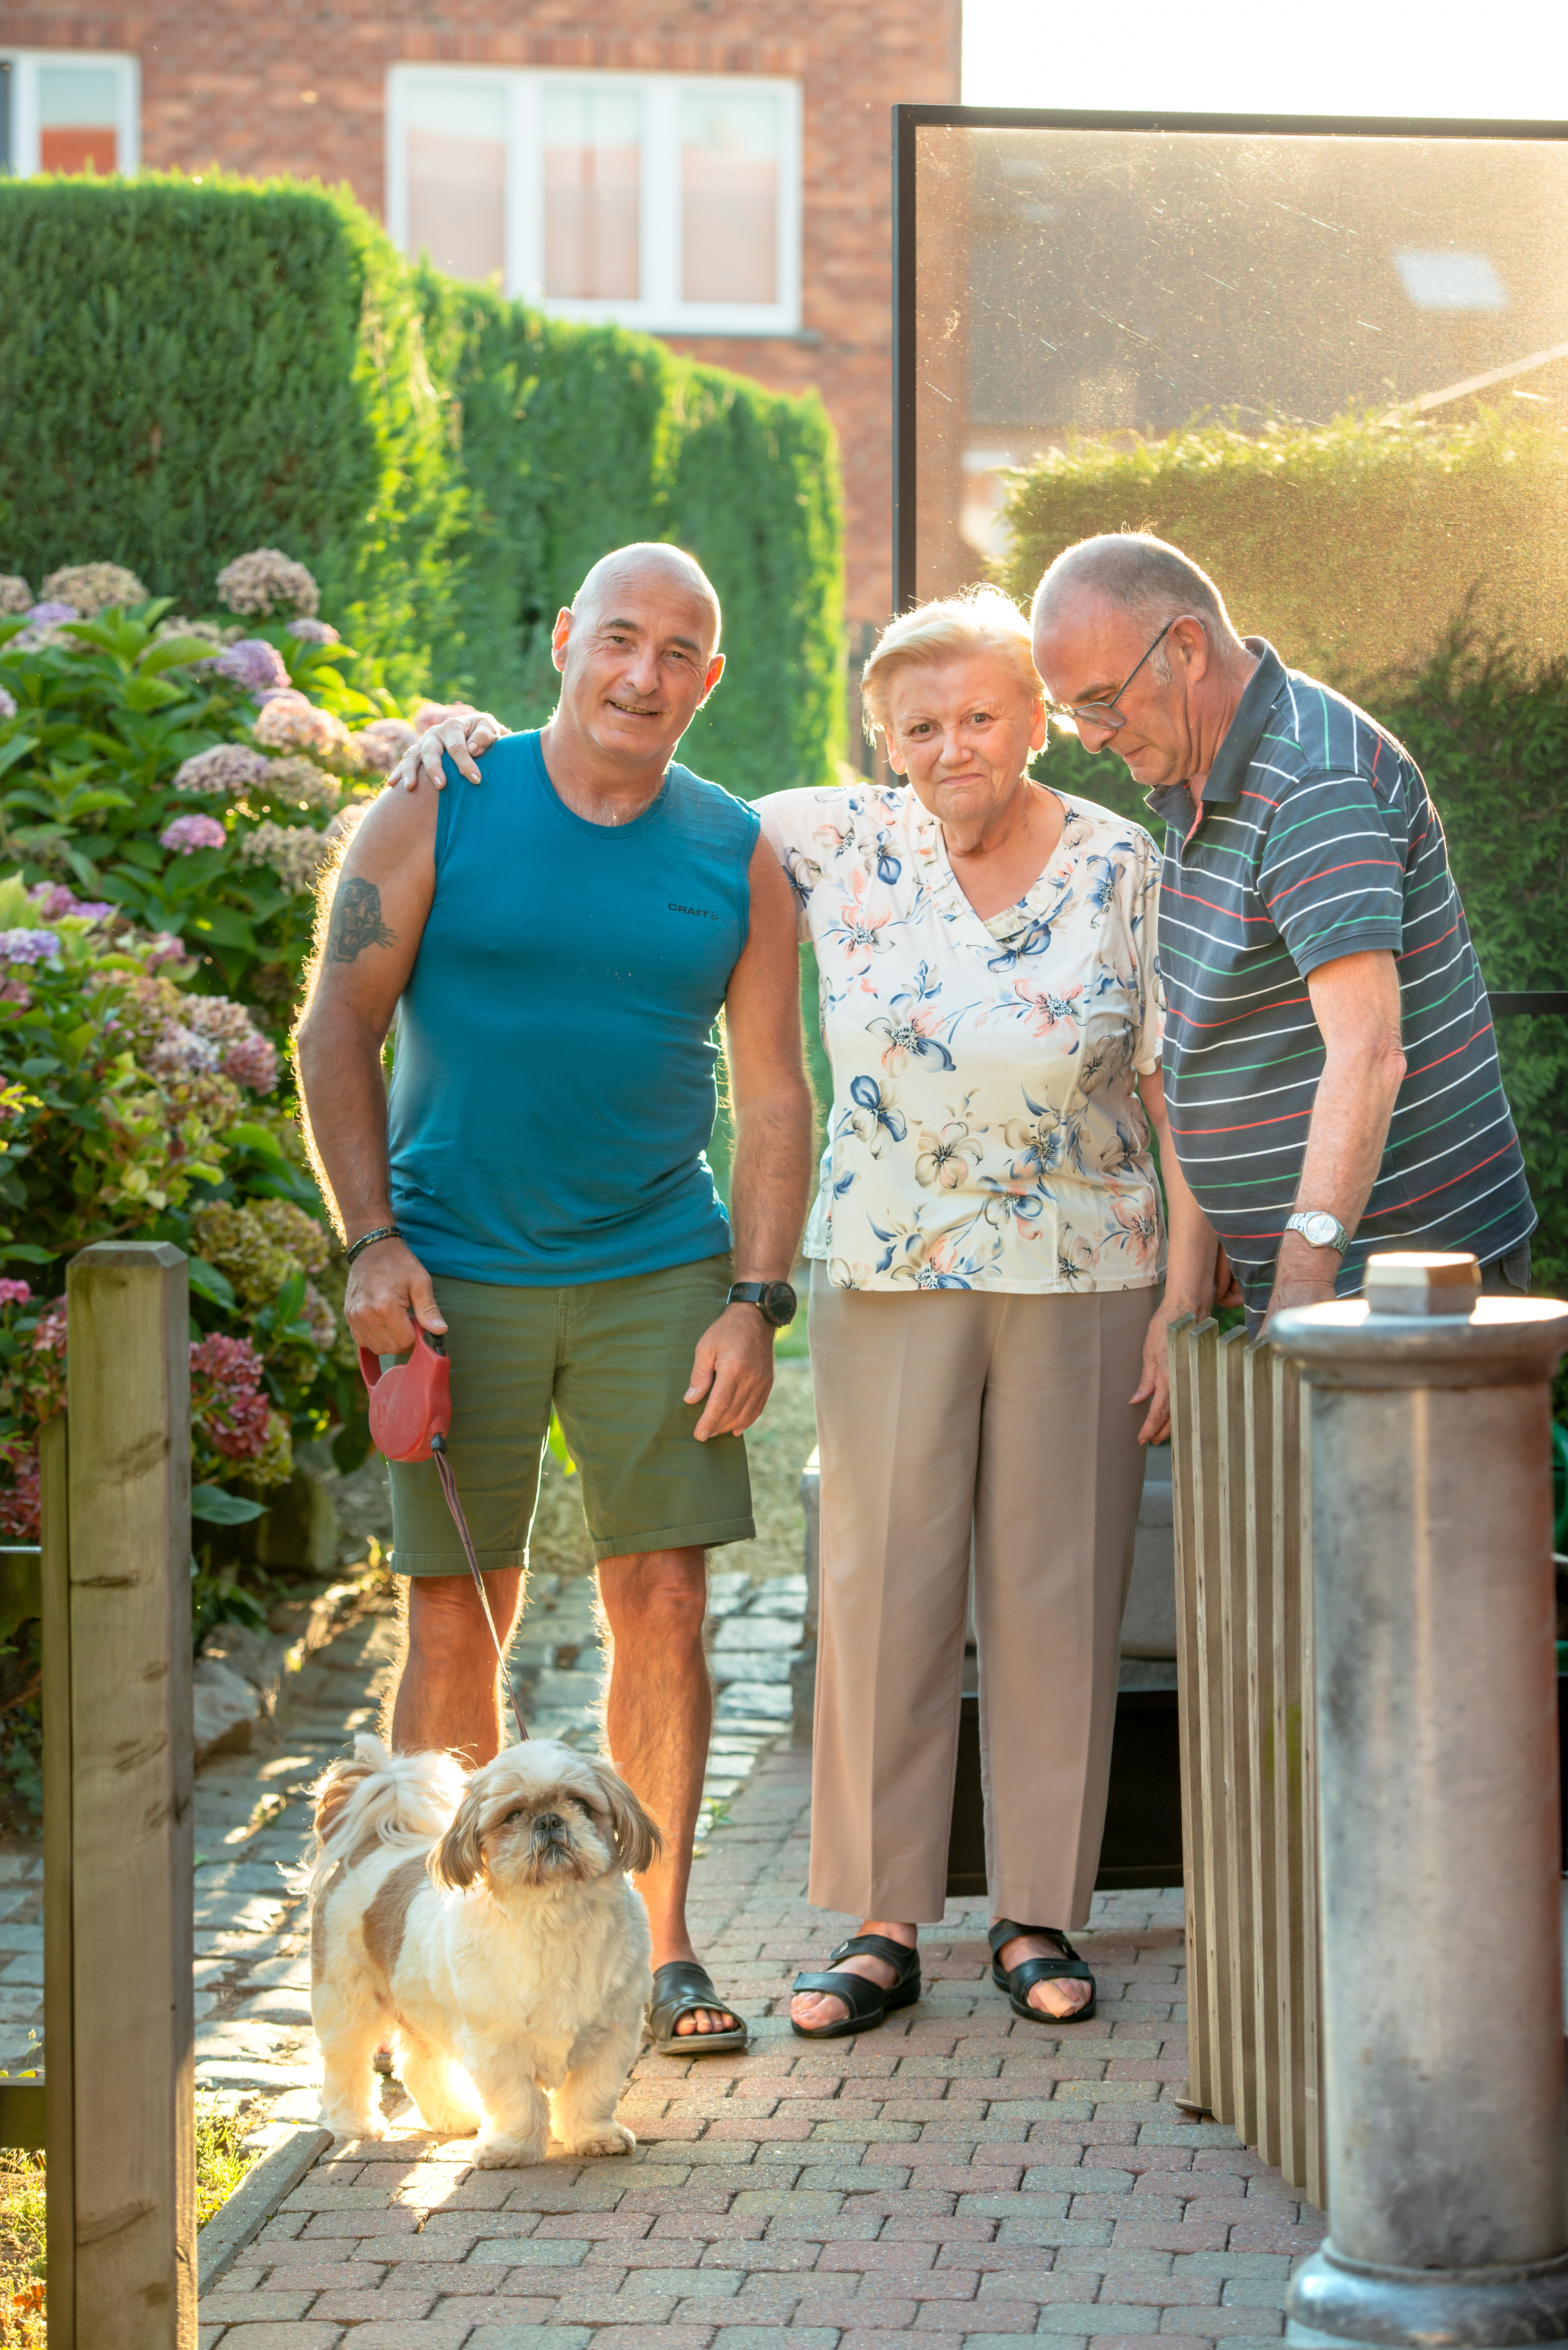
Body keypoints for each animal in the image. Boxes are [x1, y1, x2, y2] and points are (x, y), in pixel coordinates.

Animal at [313, 1729, 663, 2162]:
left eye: (580, 1803)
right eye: (513, 1814)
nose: (549, 1819)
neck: (554, 1914)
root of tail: (370, 1846)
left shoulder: (612, 2034)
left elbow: (591, 2094)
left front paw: (594, 2136)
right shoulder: (496, 2042)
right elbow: (518, 2100)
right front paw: (513, 2147)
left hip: (418, 2006)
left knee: (418, 2064)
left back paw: (453, 2116)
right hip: (347, 2002)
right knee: (346, 2065)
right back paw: (355, 2125)